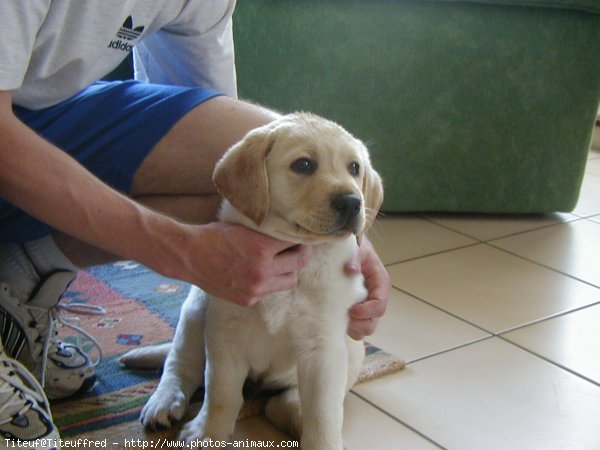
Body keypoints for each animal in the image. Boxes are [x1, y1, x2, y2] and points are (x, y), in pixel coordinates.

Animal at [122, 111, 384, 446]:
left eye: (354, 168)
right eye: (303, 165)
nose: (352, 202)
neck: (289, 252)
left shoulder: (323, 347)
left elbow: (323, 413)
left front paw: (323, 442)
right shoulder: (224, 332)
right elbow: (221, 393)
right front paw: (209, 433)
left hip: (351, 351)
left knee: (283, 403)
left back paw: (292, 414)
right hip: (195, 311)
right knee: (181, 365)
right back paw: (164, 401)